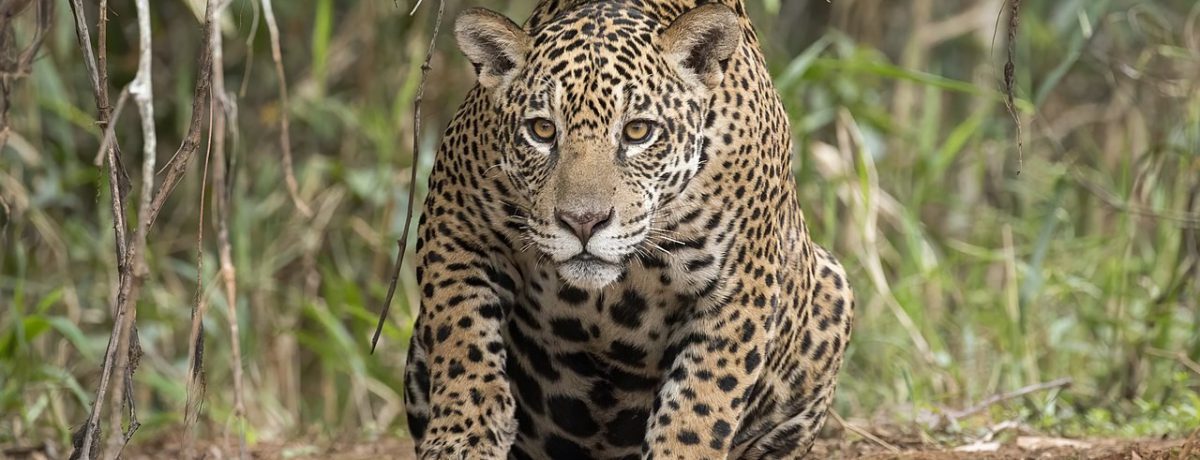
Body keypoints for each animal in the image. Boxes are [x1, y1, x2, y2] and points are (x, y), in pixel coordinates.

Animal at [402, 1, 854, 459]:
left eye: (638, 131)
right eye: (542, 130)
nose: (583, 221)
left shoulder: (739, 287)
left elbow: (701, 400)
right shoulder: (454, 224)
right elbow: (461, 338)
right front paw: (463, 438)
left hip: (833, 287)